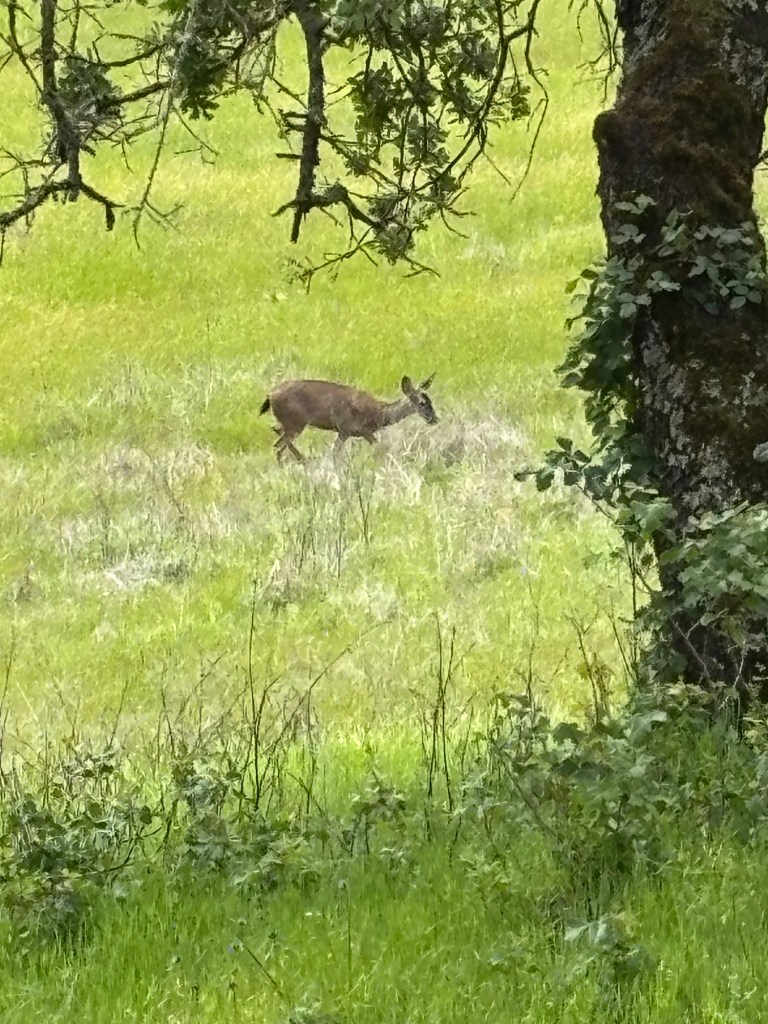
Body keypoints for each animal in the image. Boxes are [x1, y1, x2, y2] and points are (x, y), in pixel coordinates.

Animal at [259, 374, 438, 461]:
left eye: (431, 400)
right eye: (422, 403)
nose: (435, 419)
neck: (379, 414)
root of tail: (270, 395)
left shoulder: (355, 432)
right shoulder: (348, 428)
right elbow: (337, 451)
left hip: (288, 422)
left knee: (277, 435)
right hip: (295, 422)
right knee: (279, 445)